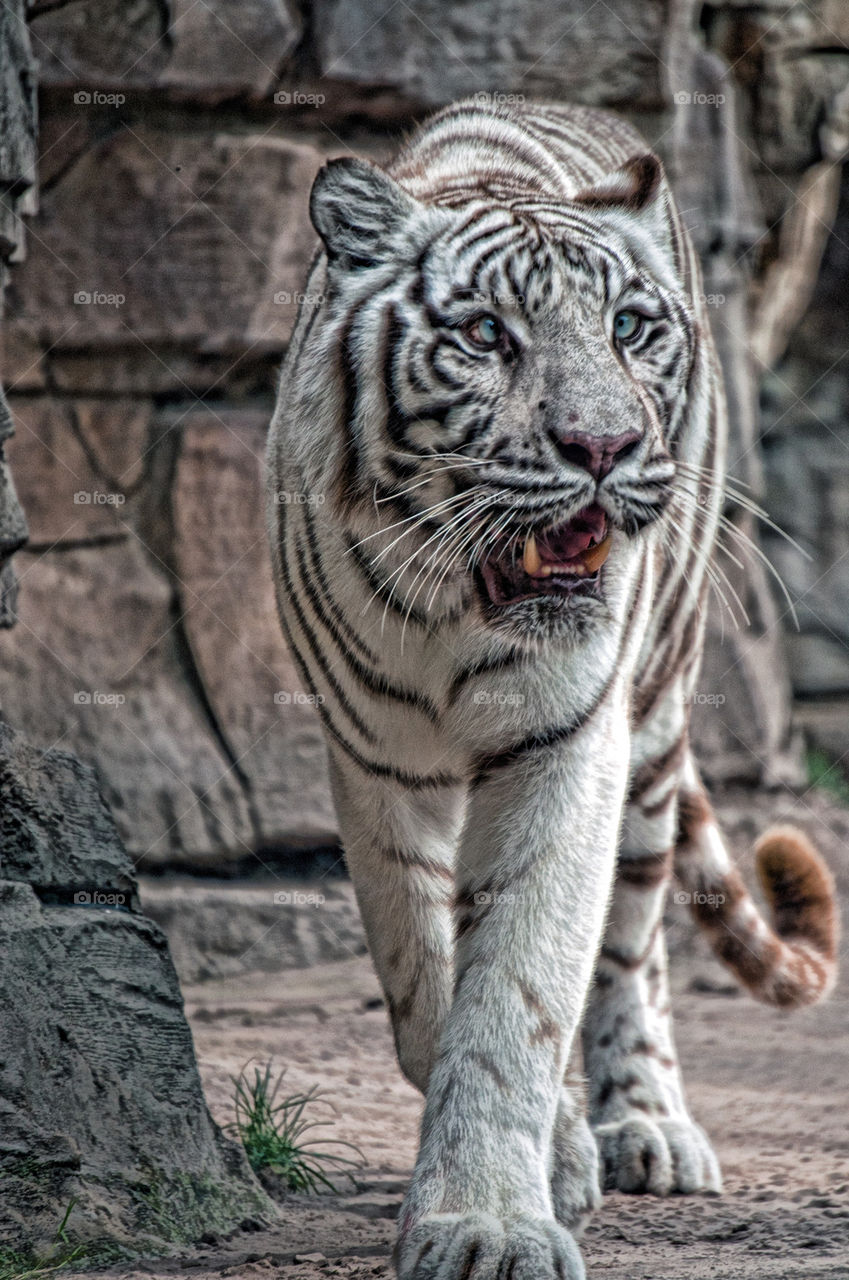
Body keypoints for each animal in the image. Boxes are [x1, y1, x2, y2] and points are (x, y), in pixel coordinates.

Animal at [266, 98, 838, 1280]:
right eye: (486, 336)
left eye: (628, 328)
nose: (603, 446)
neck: (459, 616)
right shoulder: (375, 764)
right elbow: (427, 977)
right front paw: (537, 1172)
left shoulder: (568, 745)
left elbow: (520, 990)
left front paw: (489, 1221)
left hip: (655, 723)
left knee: (635, 944)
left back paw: (648, 1125)